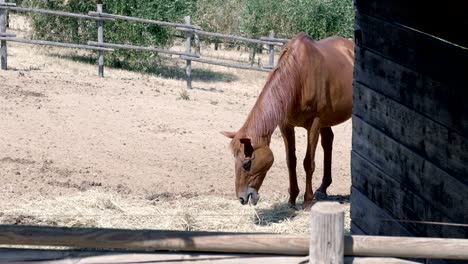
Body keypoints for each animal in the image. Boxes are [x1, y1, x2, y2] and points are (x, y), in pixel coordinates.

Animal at [221, 32, 352, 208]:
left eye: (246, 163)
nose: (241, 198)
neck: (299, 77)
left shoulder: (314, 124)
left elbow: (308, 162)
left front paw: (307, 201)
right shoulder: (286, 125)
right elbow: (291, 161)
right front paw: (292, 198)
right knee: (328, 142)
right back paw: (323, 188)